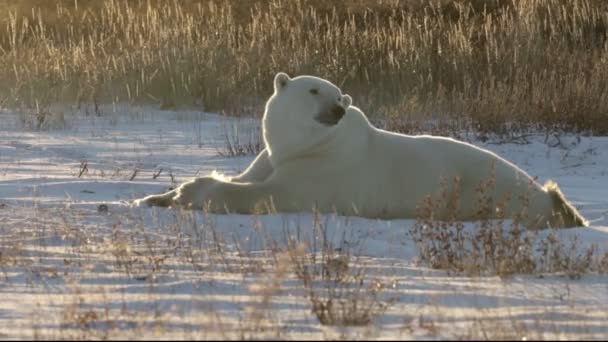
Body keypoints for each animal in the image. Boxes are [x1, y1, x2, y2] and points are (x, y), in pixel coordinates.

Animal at [135, 71, 588, 230]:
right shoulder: (270, 157)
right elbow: (248, 177)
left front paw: (192, 191)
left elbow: (266, 193)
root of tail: (545, 196)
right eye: (314, 90)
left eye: (339, 95)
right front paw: (152, 196)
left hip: (484, 192)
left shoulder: (323, 171)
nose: (337, 109)